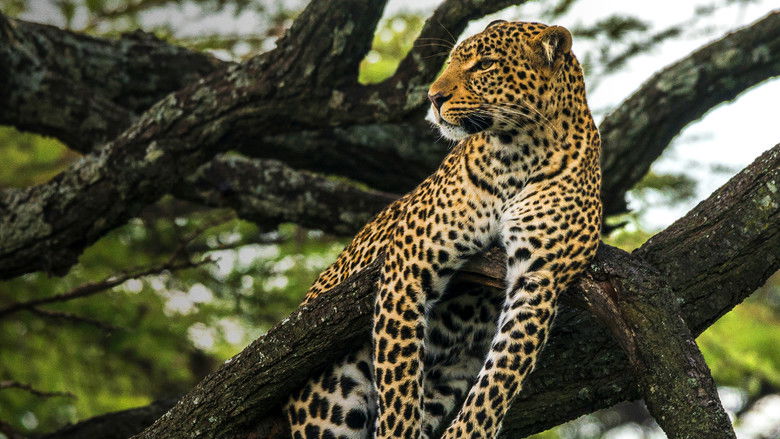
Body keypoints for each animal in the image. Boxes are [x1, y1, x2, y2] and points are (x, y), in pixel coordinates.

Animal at [285, 19, 601, 439]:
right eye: (451, 61)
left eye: (484, 64)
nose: (433, 97)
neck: (519, 151)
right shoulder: (410, 259)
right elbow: (400, 377)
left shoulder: (539, 280)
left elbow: (499, 380)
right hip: (331, 402)